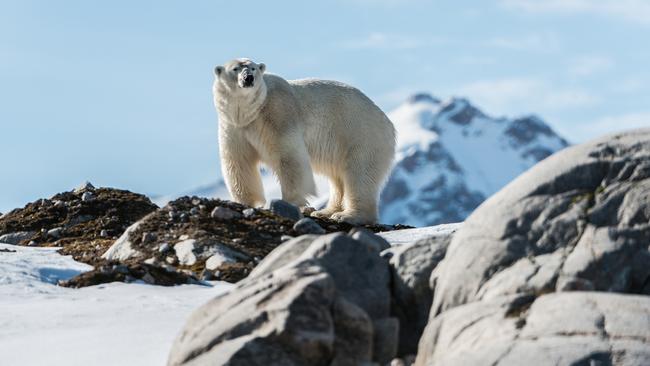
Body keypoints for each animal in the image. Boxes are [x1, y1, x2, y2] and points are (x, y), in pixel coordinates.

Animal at [213, 58, 394, 223]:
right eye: (235, 68)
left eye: (253, 68)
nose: (249, 78)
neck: (251, 112)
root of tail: (388, 122)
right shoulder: (233, 126)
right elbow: (239, 162)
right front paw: (246, 201)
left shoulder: (278, 113)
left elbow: (289, 157)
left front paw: (290, 202)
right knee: (338, 178)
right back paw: (326, 211)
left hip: (361, 135)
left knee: (359, 174)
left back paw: (349, 215)